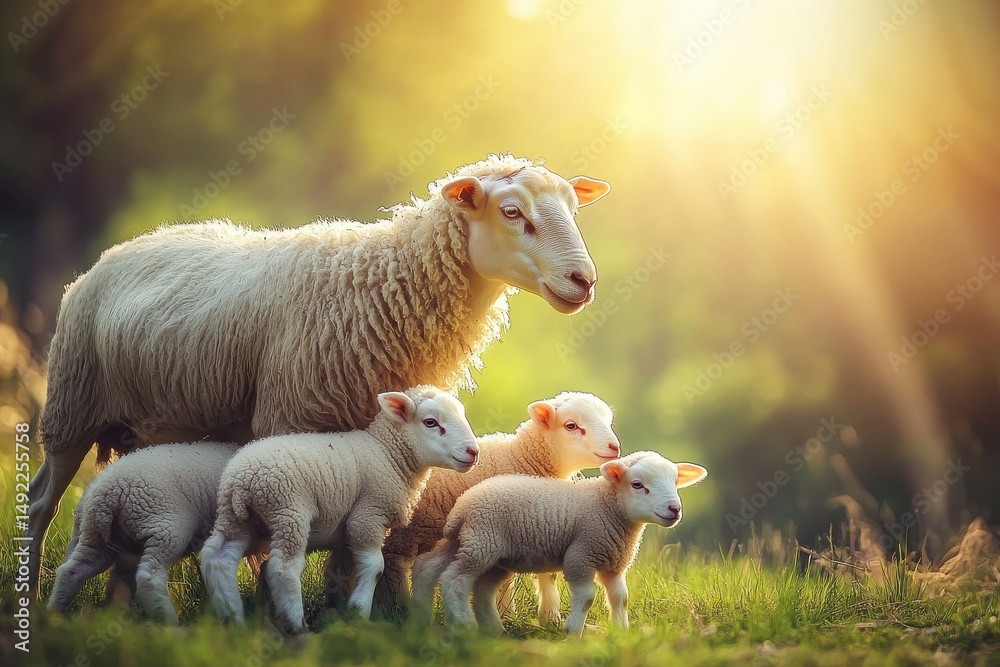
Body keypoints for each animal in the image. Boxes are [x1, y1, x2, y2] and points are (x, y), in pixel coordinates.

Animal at [28, 154, 612, 596]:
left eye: (574, 208)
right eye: (512, 212)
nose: (584, 281)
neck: (381, 287)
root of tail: (123, 247)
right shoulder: (286, 420)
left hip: (145, 428)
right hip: (72, 406)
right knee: (40, 503)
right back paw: (34, 598)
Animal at [47, 441, 241, 623]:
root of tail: (108, 494)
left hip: (96, 536)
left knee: (72, 570)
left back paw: (55, 613)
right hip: (165, 529)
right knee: (149, 576)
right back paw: (168, 621)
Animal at [200, 385, 480, 635]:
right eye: (431, 422)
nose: (473, 452)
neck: (387, 453)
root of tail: (242, 479)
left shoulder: (351, 529)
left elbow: (346, 568)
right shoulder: (368, 514)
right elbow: (375, 567)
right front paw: (359, 611)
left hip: (235, 517)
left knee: (218, 558)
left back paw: (232, 617)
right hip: (288, 510)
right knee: (282, 567)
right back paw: (295, 624)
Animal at [323, 391, 621, 622]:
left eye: (608, 420)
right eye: (571, 425)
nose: (614, 447)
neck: (521, 457)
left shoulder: (547, 520)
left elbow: (548, 575)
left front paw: (550, 618)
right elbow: (507, 580)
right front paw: (508, 614)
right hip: (401, 533)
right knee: (393, 567)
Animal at [411, 451, 708, 638]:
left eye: (675, 482)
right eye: (637, 485)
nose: (674, 509)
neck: (607, 506)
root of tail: (463, 505)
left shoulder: (613, 564)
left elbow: (620, 598)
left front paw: (621, 632)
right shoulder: (581, 555)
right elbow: (587, 597)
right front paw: (572, 631)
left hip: (475, 545)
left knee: (443, 572)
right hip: (482, 542)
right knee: (456, 579)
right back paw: (464, 625)